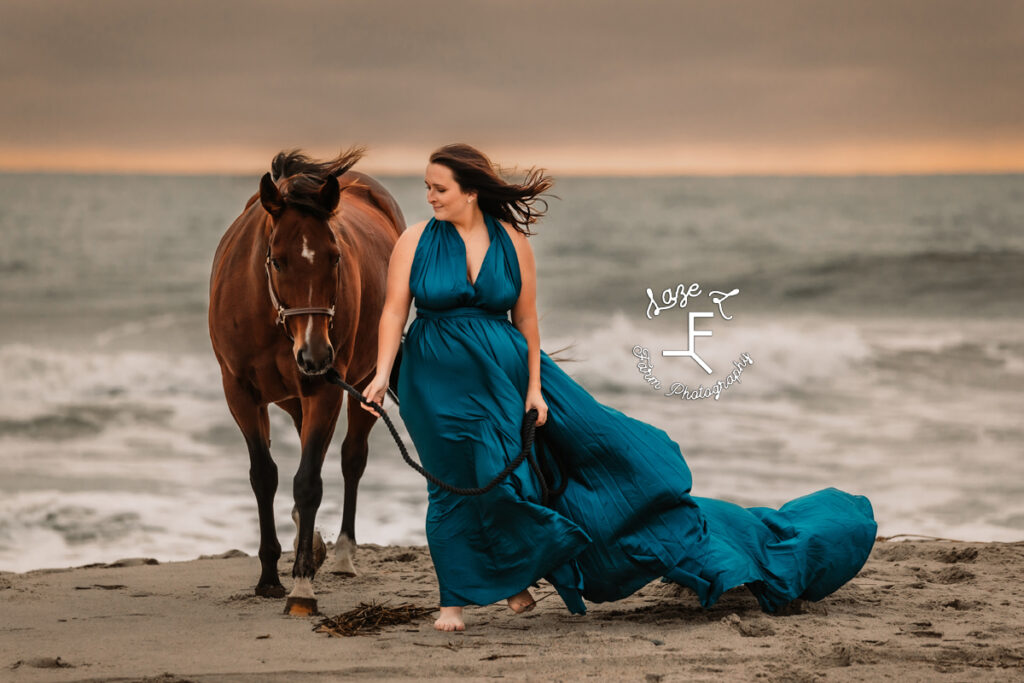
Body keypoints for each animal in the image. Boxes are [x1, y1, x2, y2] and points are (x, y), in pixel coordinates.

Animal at [208, 148, 403, 614]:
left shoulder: (326, 389)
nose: (315, 355)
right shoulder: (240, 392)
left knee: (352, 458)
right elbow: (264, 476)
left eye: (334, 257)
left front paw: (300, 588)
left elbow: (308, 482)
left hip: (364, 384)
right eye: (277, 259)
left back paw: (343, 555)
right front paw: (269, 577)